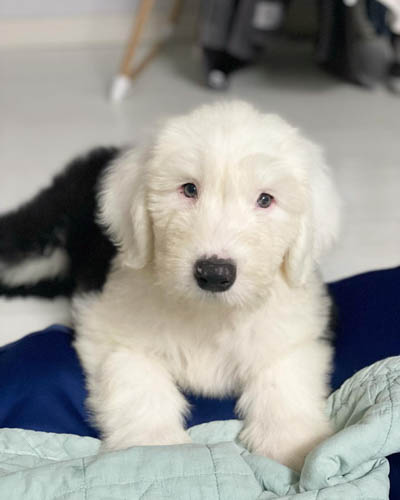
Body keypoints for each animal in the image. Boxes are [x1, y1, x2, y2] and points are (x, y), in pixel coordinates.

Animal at [0, 100, 340, 468]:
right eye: (189, 189)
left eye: (266, 199)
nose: (214, 273)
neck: (209, 314)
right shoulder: (110, 329)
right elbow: (141, 383)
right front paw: (155, 447)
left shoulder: (297, 330)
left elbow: (284, 377)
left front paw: (294, 444)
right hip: (40, 239)